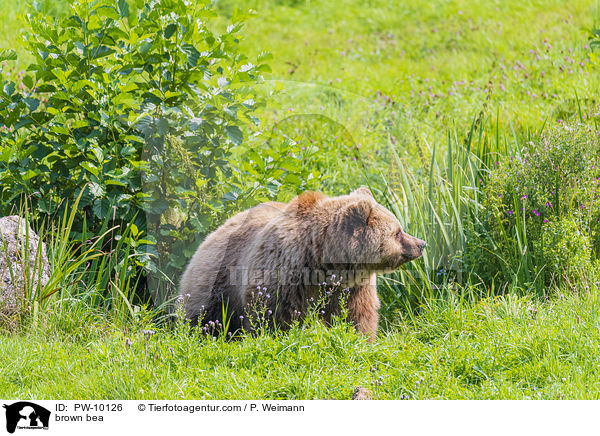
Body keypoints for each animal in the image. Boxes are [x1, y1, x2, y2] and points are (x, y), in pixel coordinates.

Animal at [179, 186, 426, 340]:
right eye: (397, 232)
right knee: (206, 315)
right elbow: (273, 314)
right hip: (218, 277)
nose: (421, 243)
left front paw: (361, 339)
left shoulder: (354, 286)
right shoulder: (283, 271)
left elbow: (356, 314)